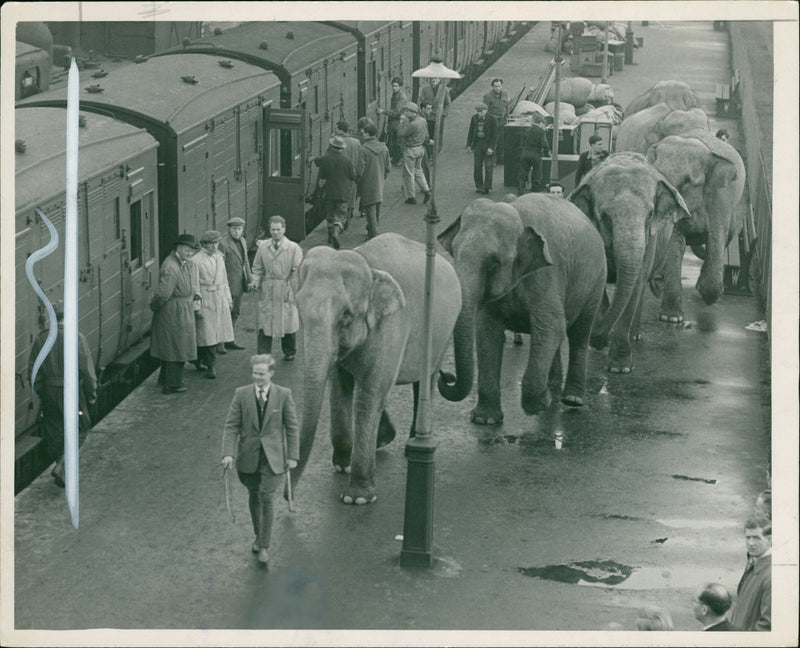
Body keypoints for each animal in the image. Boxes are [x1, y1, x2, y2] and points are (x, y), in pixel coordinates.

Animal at [294, 233, 460, 506]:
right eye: (298, 308)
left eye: (346, 315)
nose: (288, 496)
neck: (367, 264)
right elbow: (339, 389)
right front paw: (342, 466)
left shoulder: (391, 326)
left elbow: (367, 396)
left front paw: (357, 499)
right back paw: (385, 438)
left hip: (444, 333)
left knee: (425, 380)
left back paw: (413, 442)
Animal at [438, 194, 608, 426]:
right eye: (454, 253)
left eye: (494, 262)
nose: (445, 376)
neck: (517, 213)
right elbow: (487, 332)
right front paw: (485, 420)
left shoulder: (547, 275)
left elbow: (550, 326)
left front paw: (542, 403)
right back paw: (552, 385)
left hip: (596, 280)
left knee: (579, 333)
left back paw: (572, 399)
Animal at [568, 152, 692, 372]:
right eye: (605, 217)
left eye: (650, 215)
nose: (598, 340)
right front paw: (598, 341)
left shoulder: (649, 240)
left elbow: (635, 285)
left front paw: (620, 367)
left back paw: (635, 336)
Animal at [648, 128, 748, 322]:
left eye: (686, 181)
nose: (655, 289)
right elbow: (675, 242)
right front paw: (671, 319)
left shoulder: (719, 201)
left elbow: (716, 239)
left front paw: (708, 296)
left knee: (726, 238)